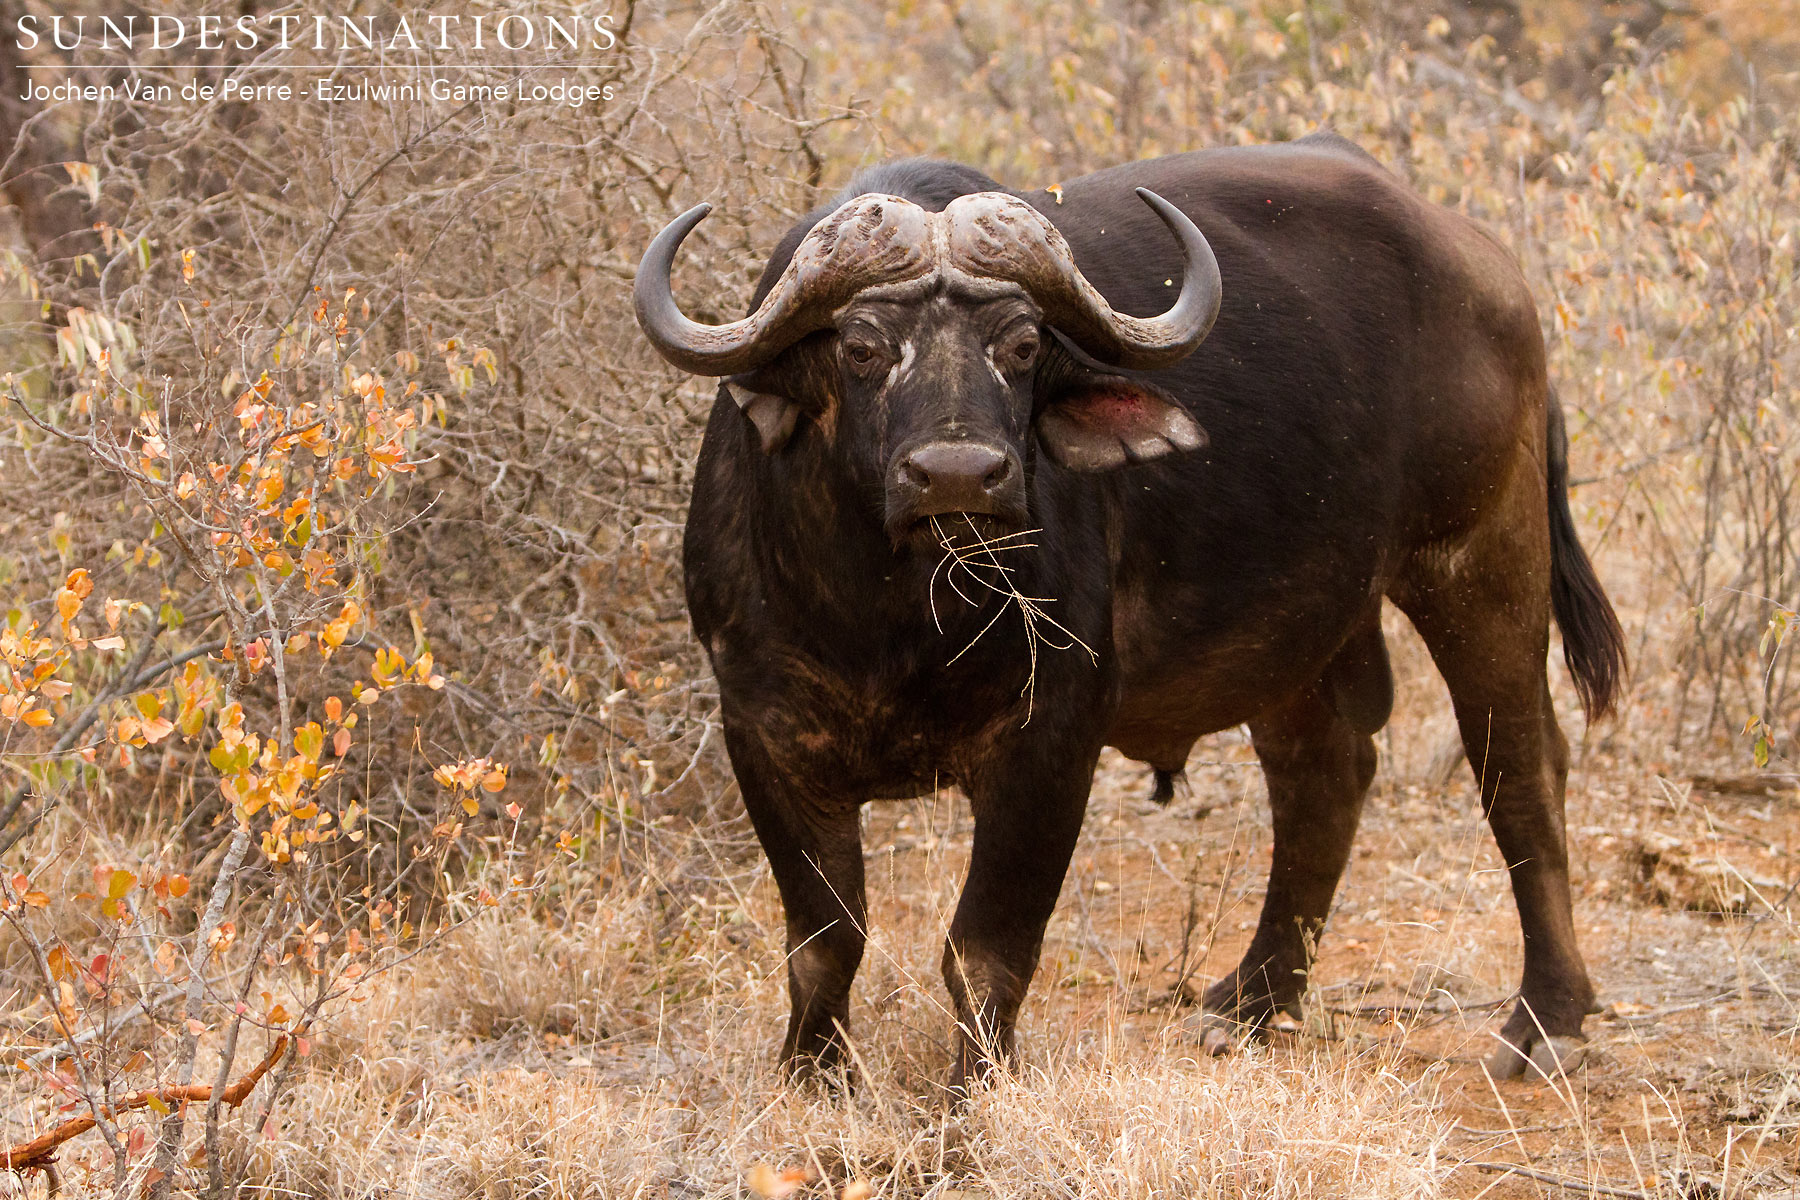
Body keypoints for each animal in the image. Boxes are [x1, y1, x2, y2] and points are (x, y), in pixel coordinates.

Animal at [634, 132, 1626, 1091]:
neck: (891, 617)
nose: (958, 475)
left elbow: (985, 948)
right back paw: (1253, 1001)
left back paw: (1545, 1023)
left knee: (1519, 770)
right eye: (863, 348)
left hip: (1482, 558)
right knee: (1325, 773)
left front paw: (970, 1095)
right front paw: (812, 1077)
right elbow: (824, 940)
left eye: (1020, 347)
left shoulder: (1051, 739)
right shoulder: (762, 734)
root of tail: (1488, 270)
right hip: (1298, 627)